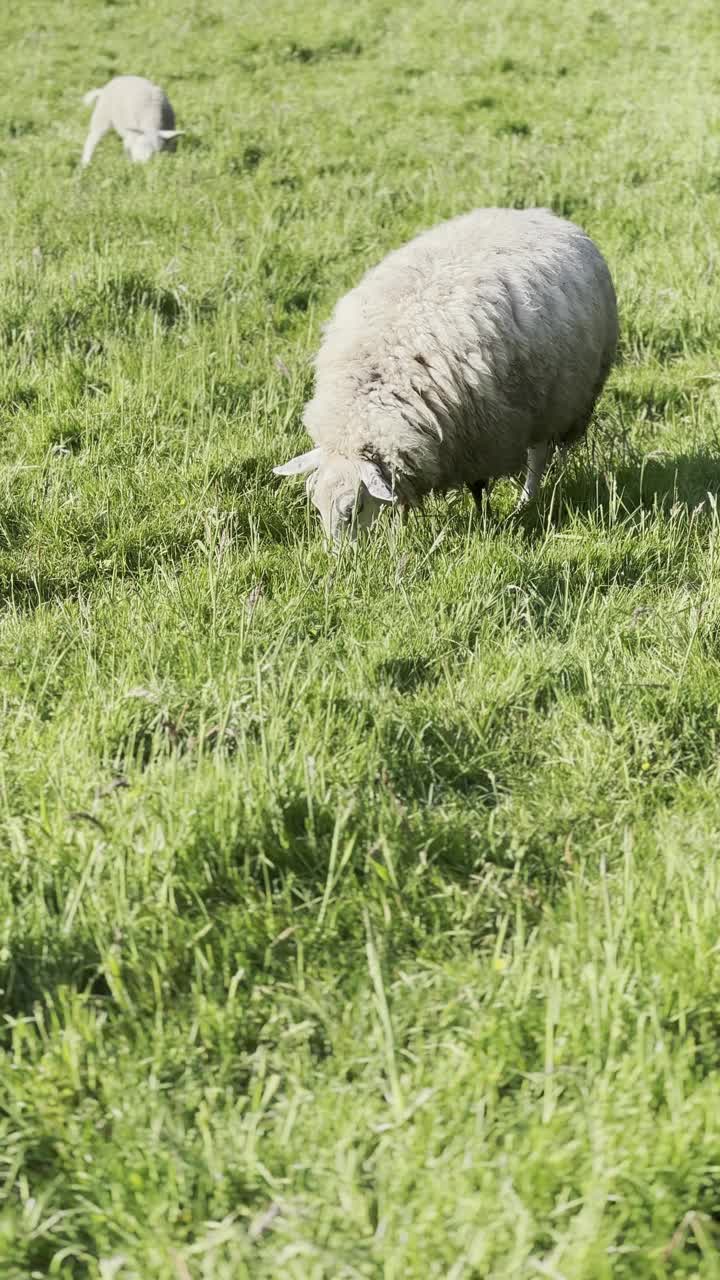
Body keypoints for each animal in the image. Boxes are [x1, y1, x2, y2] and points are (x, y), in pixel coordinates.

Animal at [272, 203, 617, 540]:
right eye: (316, 504)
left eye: (354, 508)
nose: (339, 555)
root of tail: (539, 214)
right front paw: (401, 528)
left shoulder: (483, 437)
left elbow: (479, 488)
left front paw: (483, 523)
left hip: (556, 401)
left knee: (538, 455)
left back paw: (526, 501)